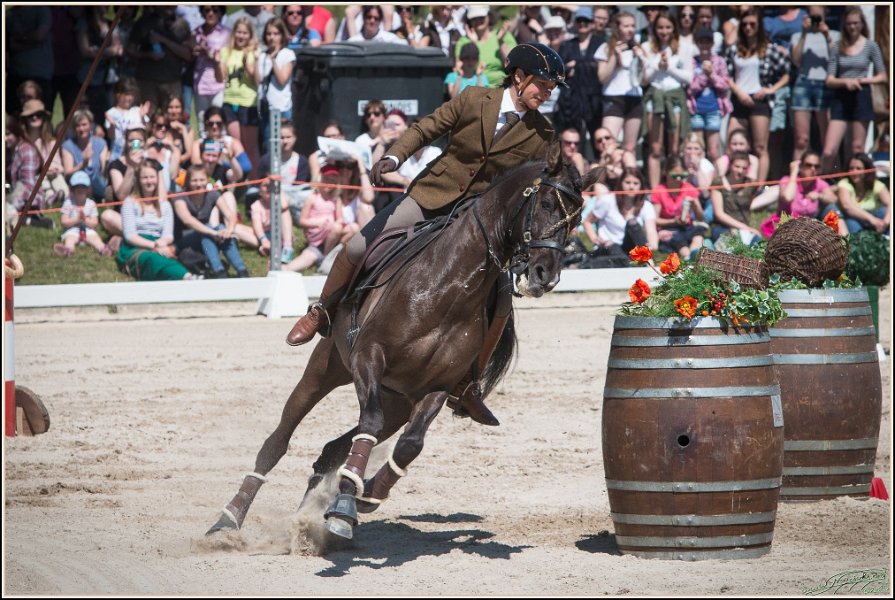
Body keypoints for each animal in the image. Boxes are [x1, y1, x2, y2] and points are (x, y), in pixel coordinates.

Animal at [207, 142, 601, 541]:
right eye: (547, 204)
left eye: (577, 220)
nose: (546, 276)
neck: (449, 287)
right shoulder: (368, 358)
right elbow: (368, 423)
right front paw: (345, 504)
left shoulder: (438, 386)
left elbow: (410, 445)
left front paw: (365, 496)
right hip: (326, 368)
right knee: (279, 440)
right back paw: (229, 518)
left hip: (397, 401)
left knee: (335, 448)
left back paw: (308, 524)